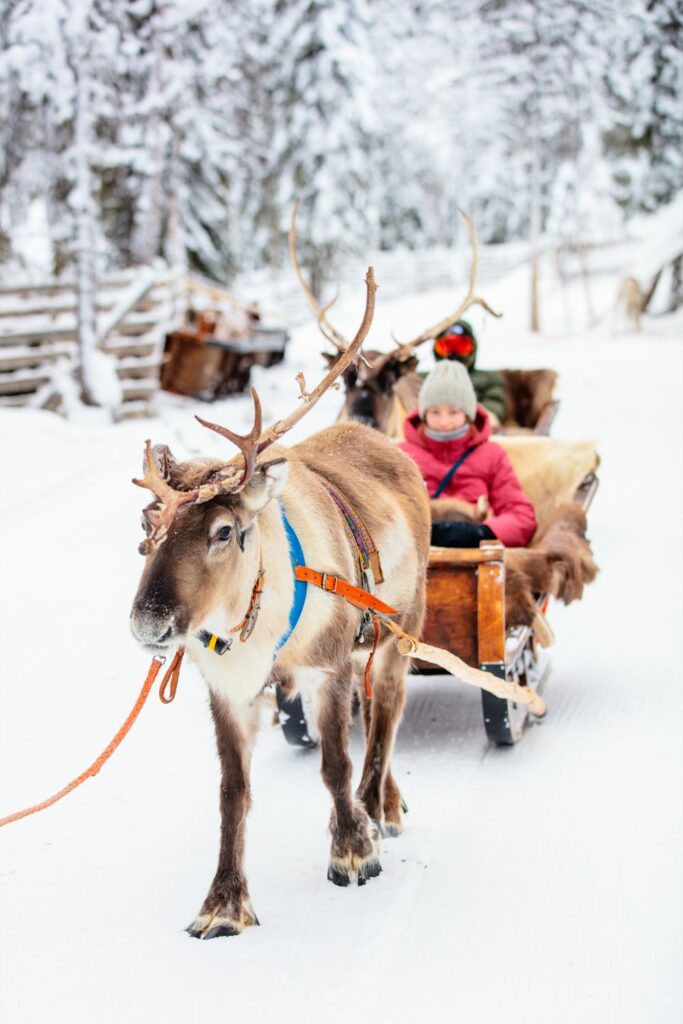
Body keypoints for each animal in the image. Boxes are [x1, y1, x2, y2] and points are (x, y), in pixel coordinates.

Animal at [129, 268, 432, 939]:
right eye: (146, 523)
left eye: (223, 531)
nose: (147, 622)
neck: (253, 629)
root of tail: (382, 441)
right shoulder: (227, 694)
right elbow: (232, 792)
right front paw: (223, 904)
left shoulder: (328, 667)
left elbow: (335, 765)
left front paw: (353, 852)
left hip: (401, 630)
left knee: (386, 715)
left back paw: (378, 808)